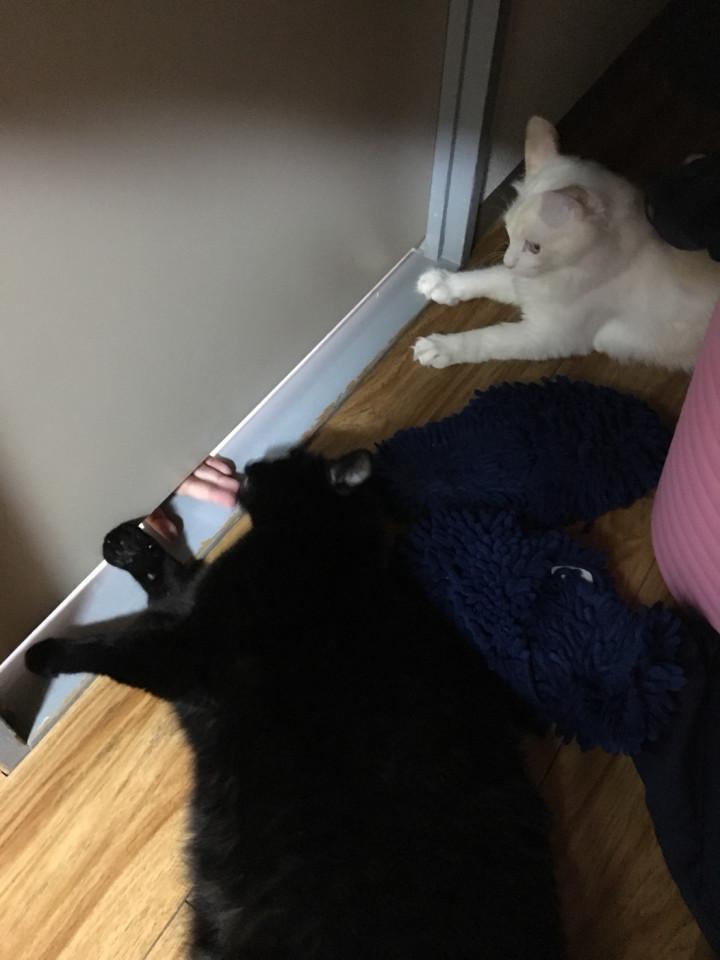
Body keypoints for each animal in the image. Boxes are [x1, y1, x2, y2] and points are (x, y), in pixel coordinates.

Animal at [26, 449, 564, 960]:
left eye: (281, 464)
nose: (252, 461)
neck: (324, 543)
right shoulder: (193, 602)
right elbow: (169, 575)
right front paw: (127, 543)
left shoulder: (189, 650)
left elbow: (113, 649)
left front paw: (45, 654)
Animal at [413, 116, 720, 371]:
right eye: (508, 233)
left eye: (535, 247)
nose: (509, 261)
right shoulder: (530, 284)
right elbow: (488, 277)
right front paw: (443, 283)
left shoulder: (549, 335)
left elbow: (489, 338)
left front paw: (441, 347)